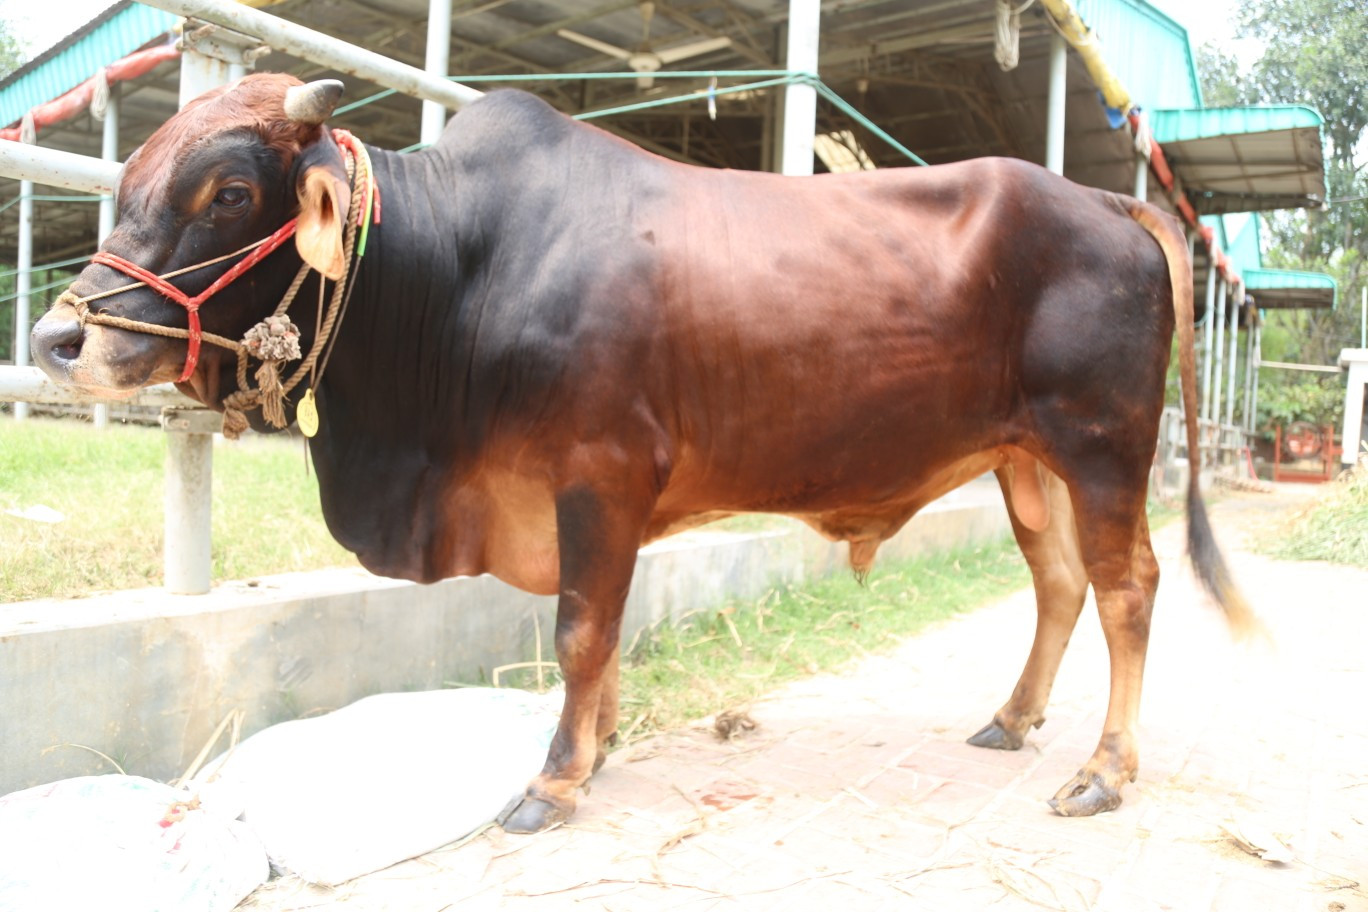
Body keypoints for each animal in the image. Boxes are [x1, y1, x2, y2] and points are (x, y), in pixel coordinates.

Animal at [31, 73, 1253, 833]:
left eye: (230, 191)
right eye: (131, 179)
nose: (57, 337)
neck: (463, 267)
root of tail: (1108, 201)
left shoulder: (599, 474)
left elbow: (580, 631)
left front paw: (557, 779)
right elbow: (600, 632)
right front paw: (600, 748)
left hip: (1100, 447)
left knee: (1129, 588)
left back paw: (1103, 771)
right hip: (1023, 461)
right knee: (1059, 582)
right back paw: (1011, 719)